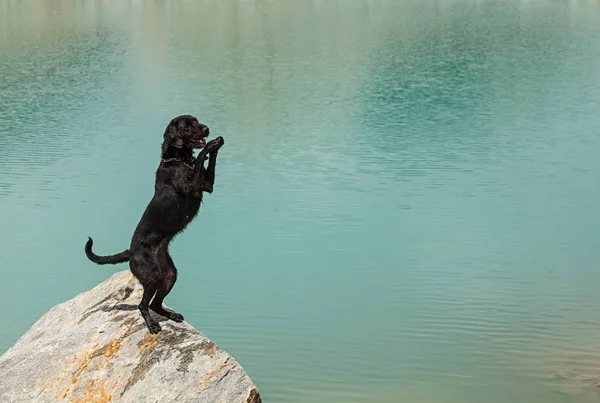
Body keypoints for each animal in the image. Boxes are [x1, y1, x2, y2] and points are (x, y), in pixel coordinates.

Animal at [85, 114, 224, 334]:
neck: (177, 160)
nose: (207, 129)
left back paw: (171, 316)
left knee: (155, 304)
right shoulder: (192, 185)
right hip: (151, 276)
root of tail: (131, 251)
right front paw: (210, 145)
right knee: (143, 305)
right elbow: (202, 155)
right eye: (189, 125)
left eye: (197, 121)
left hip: (169, 275)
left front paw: (217, 143)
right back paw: (152, 325)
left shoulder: (207, 185)